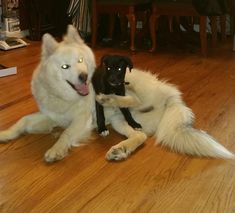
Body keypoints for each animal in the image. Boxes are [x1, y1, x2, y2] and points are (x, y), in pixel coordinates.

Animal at [0, 25, 233, 161]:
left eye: (80, 60)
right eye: (65, 66)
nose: (84, 77)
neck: (64, 97)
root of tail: (172, 100)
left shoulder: (81, 120)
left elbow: (66, 133)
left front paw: (56, 150)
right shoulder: (50, 116)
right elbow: (22, 121)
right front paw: (6, 134)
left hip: (130, 88)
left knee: (132, 101)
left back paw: (108, 100)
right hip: (121, 121)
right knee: (139, 135)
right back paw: (121, 149)